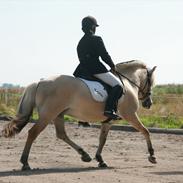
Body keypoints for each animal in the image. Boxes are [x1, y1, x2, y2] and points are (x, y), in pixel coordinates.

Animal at [0, 60, 157, 170]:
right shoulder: (130, 115)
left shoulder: (108, 121)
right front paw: (152, 156)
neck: (127, 84)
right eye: (151, 82)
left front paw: (100, 160)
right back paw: (25, 163)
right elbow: (145, 131)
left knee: (61, 134)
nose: (149, 103)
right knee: (33, 133)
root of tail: (40, 81)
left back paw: (84, 155)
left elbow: (102, 139)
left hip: (58, 115)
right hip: (48, 115)